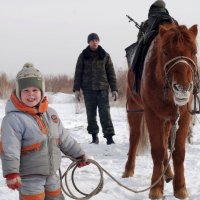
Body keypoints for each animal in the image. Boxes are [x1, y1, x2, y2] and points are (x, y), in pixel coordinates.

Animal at [122, 23, 198, 200]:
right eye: (165, 52)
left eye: (194, 52)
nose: (182, 88)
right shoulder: (153, 115)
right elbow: (157, 150)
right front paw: (156, 189)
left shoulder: (182, 116)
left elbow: (178, 152)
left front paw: (180, 188)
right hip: (135, 109)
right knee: (135, 137)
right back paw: (128, 170)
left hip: (169, 120)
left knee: (165, 142)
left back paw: (168, 173)